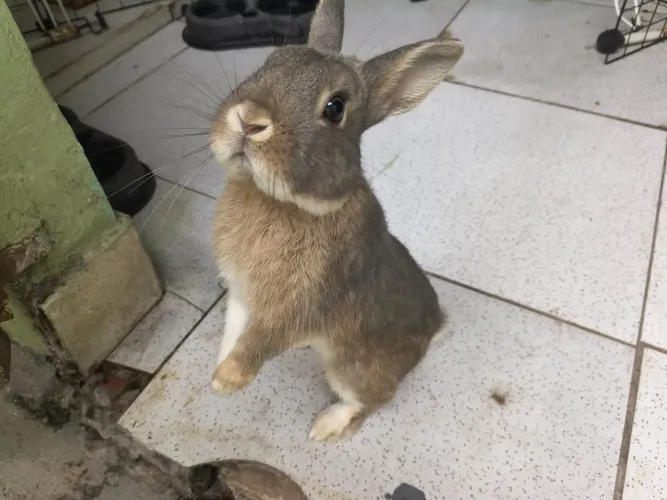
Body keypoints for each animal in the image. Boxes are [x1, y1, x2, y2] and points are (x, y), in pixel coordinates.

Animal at [209, 0, 463, 441]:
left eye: (335, 108)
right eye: (269, 62)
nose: (250, 120)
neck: (286, 201)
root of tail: (432, 334)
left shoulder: (302, 306)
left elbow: (262, 340)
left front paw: (227, 381)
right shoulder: (241, 292)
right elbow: (233, 328)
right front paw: (216, 370)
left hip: (348, 367)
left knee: (372, 400)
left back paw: (327, 427)